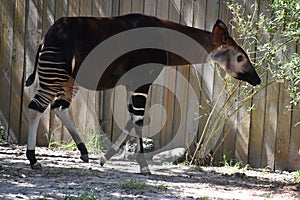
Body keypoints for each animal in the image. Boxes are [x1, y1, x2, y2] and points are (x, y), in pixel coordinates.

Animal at [25, 13, 260, 173]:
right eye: (240, 57)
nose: (257, 79)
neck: (166, 38)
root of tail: (46, 37)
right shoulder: (142, 81)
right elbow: (139, 118)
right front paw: (144, 166)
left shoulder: (133, 83)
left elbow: (132, 118)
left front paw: (104, 158)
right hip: (55, 74)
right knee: (37, 107)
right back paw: (34, 159)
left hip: (67, 79)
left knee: (58, 107)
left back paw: (83, 152)